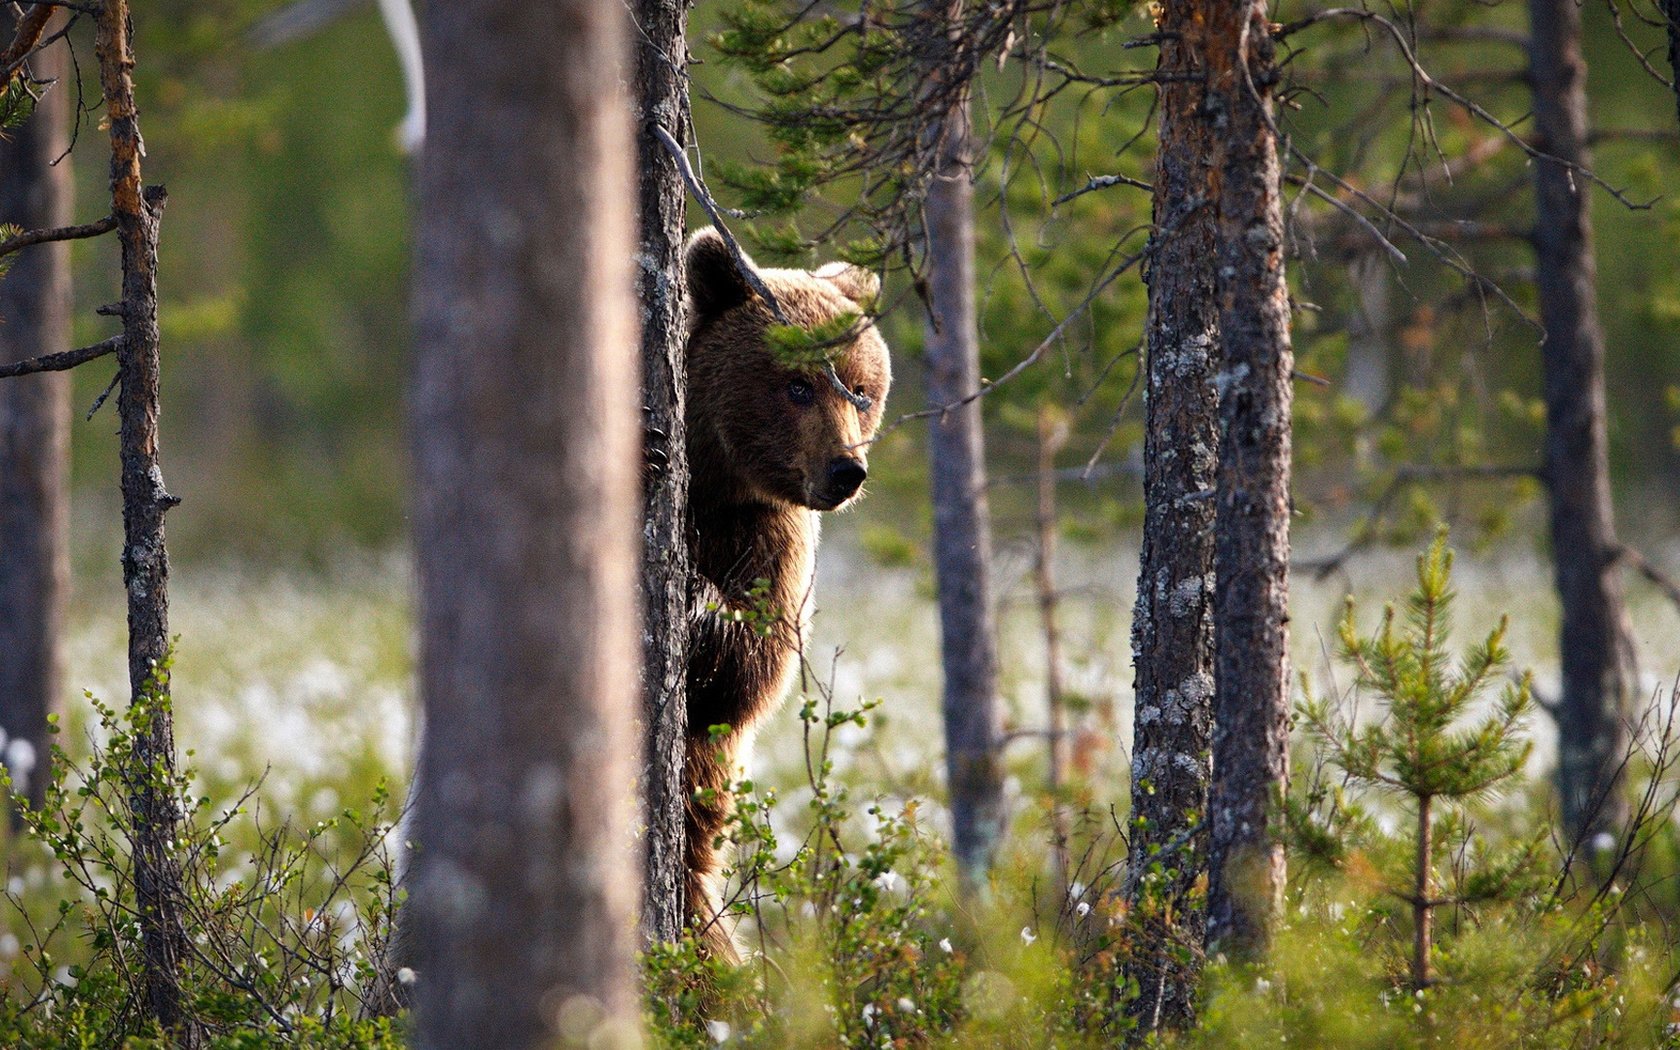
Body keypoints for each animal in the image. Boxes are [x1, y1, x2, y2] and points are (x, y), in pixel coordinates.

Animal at [672, 228, 887, 960]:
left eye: (859, 390)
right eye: (796, 385)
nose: (846, 470)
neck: (714, 483)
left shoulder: (773, 538)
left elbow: (753, 671)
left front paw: (700, 600)